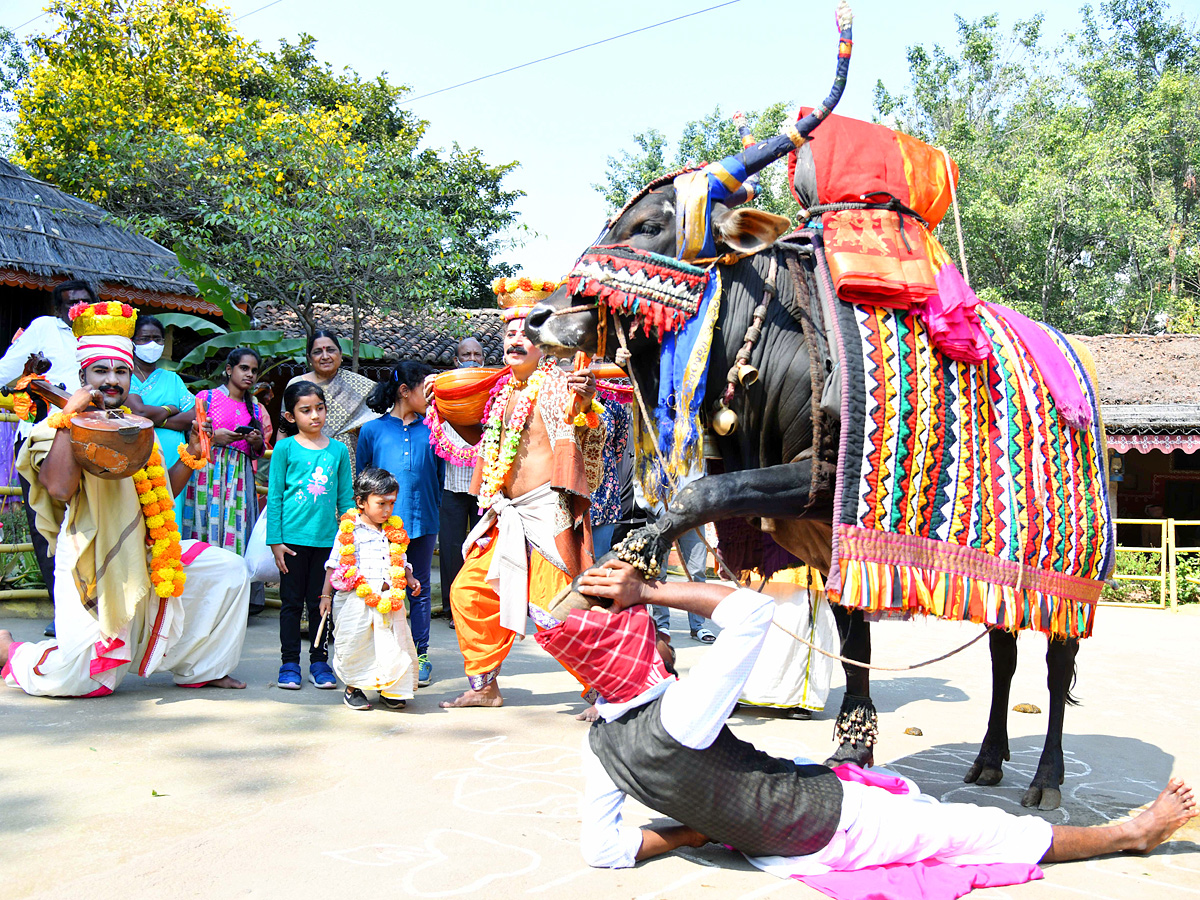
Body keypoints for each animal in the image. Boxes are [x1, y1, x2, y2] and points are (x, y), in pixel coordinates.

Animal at [525, 0, 1113, 816]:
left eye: (647, 225)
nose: (541, 316)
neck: (770, 335)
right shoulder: (821, 525)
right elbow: (854, 635)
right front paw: (852, 745)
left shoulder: (813, 477)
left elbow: (696, 499)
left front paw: (631, 558)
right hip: (1006, 570)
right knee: (1001, 649)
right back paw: (991, 758)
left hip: (1069, 569)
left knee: (1055, 663)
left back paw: (1047, 775)